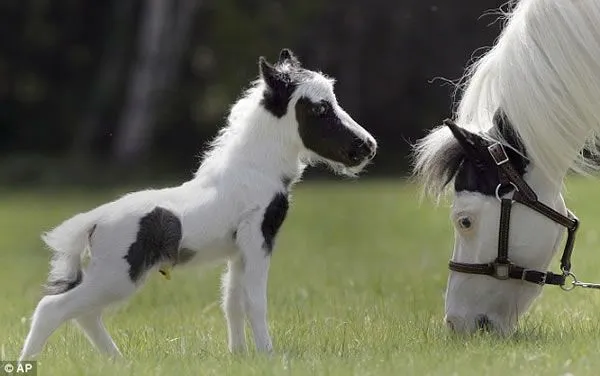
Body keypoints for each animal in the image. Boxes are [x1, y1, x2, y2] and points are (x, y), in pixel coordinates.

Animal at [19, 48, 376, 360]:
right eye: (319, 109)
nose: (368, 146)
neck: (253, 169)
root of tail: (93, 221)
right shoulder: (258, 238)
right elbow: (255, 301)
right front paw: (269, 356)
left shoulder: (238, 251)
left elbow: (232, 302)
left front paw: (239, 355)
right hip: (117, 275)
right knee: (52, 308)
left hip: (112, 277)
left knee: (85, 315)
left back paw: (119, 361)